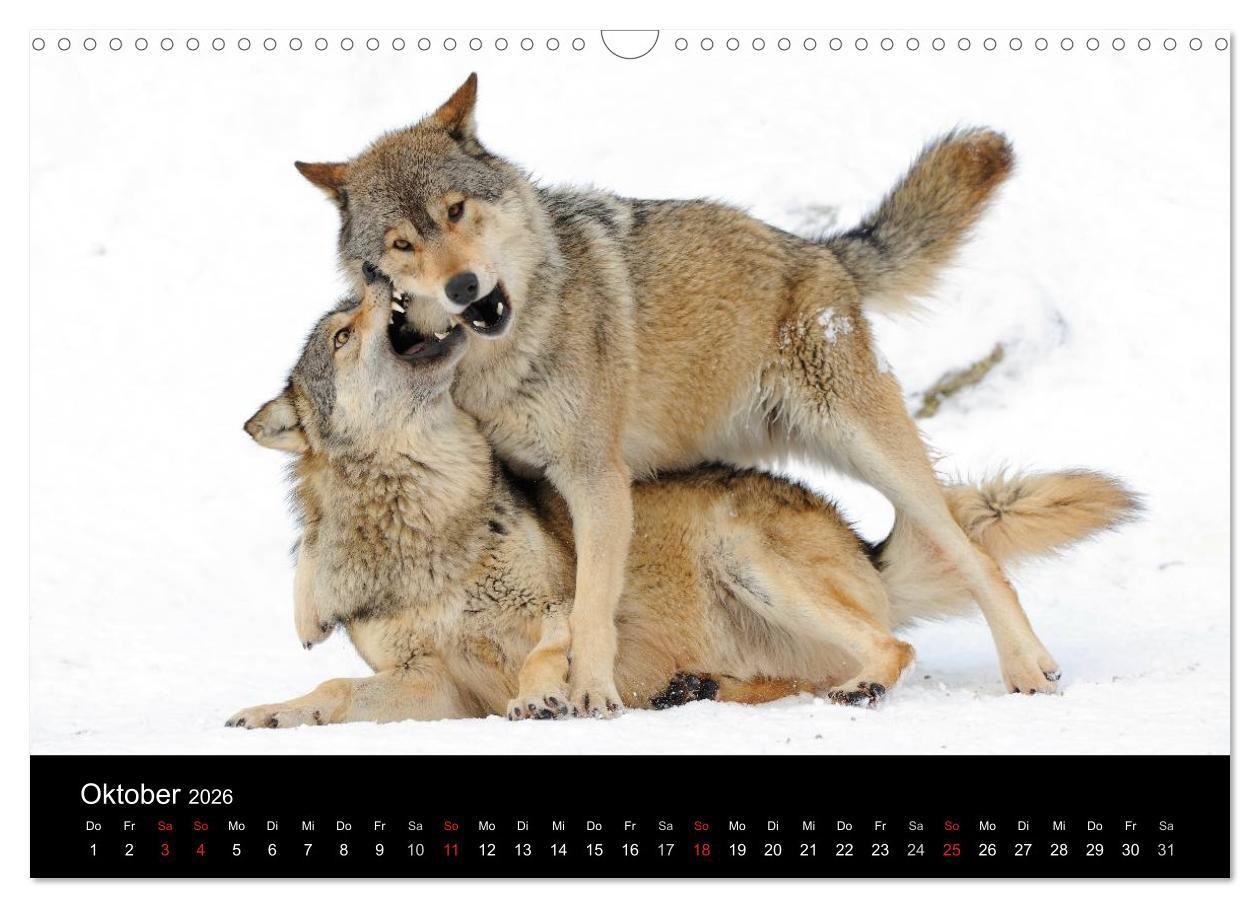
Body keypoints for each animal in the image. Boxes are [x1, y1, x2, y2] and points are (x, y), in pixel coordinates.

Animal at [228, 287, 1136, 728]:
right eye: (341, 337)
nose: (382, 290)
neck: (424, 521)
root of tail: (861, 543)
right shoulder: (433, 685)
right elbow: (334, 688)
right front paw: (273, 714)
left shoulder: (550, 612)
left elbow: (547, 650)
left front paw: (542, 699)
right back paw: (692, 690)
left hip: (746, 557)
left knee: (891, 645)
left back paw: (854, 690)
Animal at [296, 74, 1075, 714]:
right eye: (402, 244)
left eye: (456, 211)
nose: (462, 287)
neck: (496, 363)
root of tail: (817, 249)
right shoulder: (518, 480)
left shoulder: (594, 477)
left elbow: (589, 607)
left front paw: (589, 693)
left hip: (865, 449)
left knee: (972, 555)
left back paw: (1027, 667)